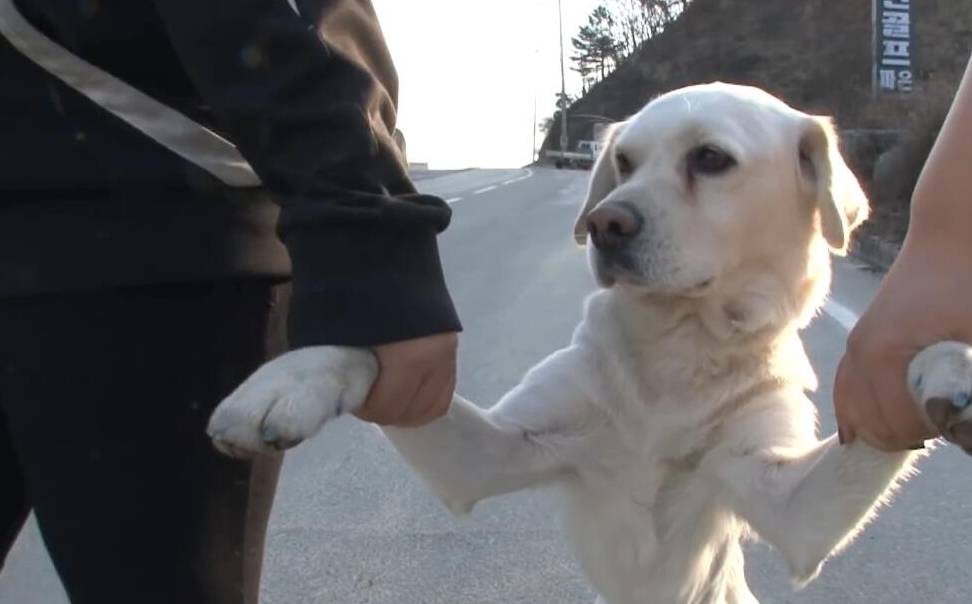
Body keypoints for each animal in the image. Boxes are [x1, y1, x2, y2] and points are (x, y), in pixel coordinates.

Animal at [207, 84, 972, 604]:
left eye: (711, 159)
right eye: (625, 160)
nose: (606, 223)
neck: (676, 350)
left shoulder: (785, 498)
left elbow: (869, 446)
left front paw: (945, 365)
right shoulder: (494, 451)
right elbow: (377, 353)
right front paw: (290, 381)